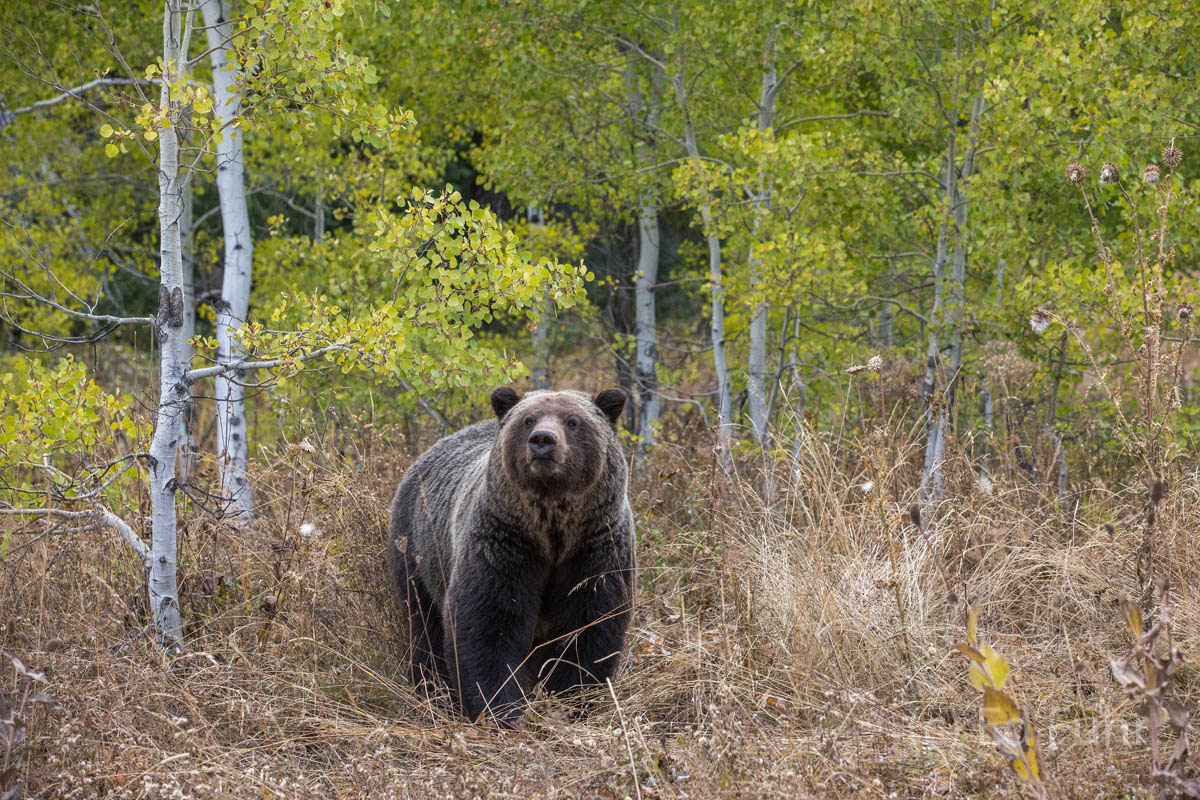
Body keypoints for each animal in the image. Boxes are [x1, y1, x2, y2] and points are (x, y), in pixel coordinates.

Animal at [388, 388, 638, 724]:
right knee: (424, 626)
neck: (552, 530)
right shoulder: (504, 546)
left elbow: (588, 628)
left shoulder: (594, 550)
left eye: (573, 421)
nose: (543, 440)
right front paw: (499, 711)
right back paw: (432, 690)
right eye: (528, 419)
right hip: (418, 551)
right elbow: (488, 624)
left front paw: (567, 703)